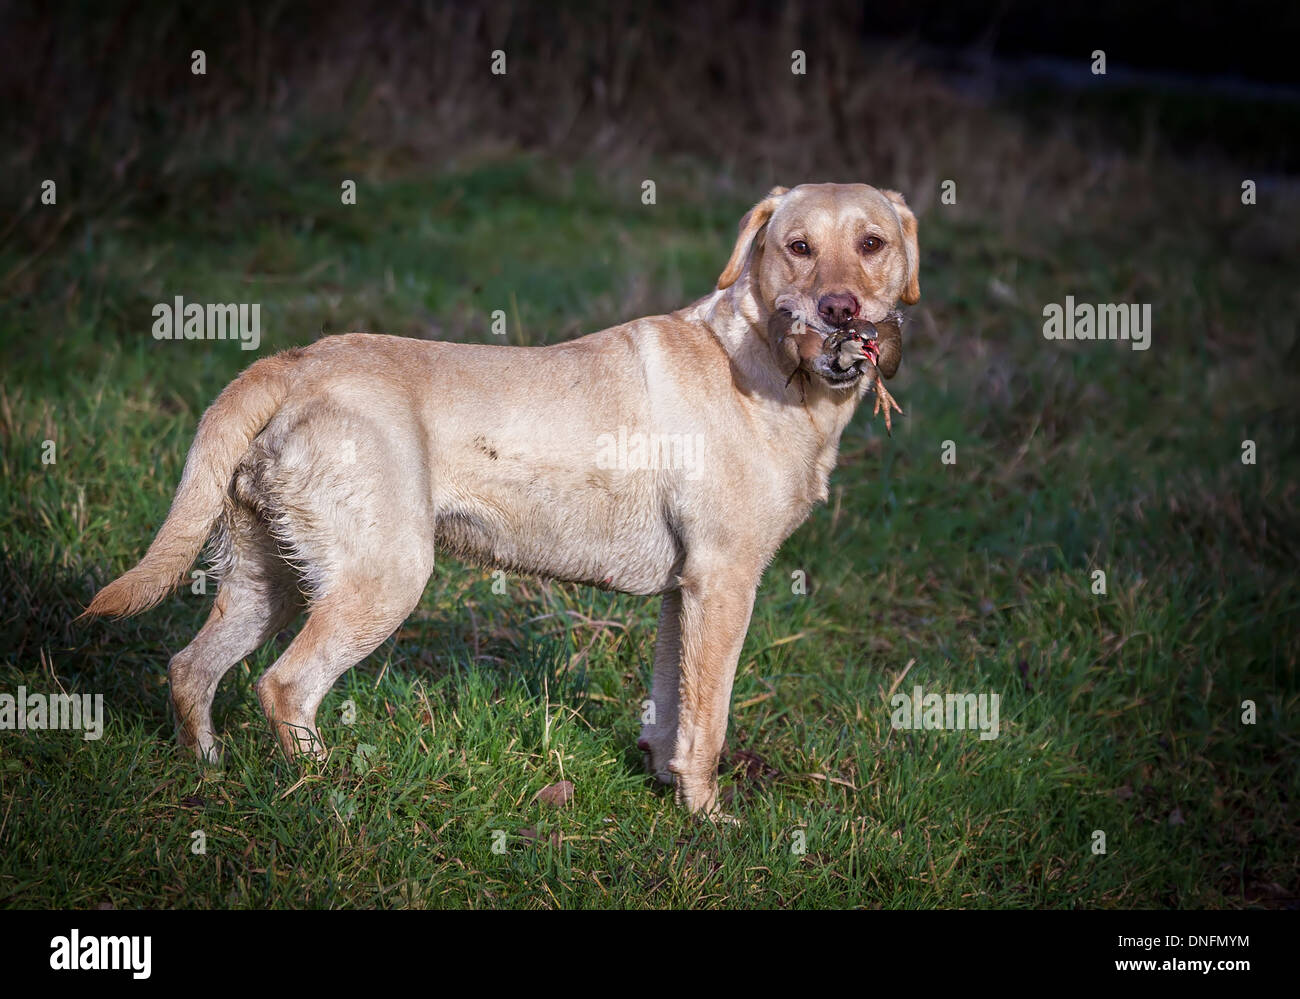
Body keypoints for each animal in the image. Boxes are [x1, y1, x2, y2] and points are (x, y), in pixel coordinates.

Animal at [83, 183, 915, 816]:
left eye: (872, 243)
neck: (770, 363)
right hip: (385, 578)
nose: (841, 311)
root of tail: (292, 361)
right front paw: (707, 818)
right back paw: (333, 791)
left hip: (271, 580)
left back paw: (209, 771)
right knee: (285, 686)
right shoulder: (725, 582)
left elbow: (670, 707)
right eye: (797, 246)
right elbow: (706, 722)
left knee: (191, 667)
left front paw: (666, 786)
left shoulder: (686, 594)